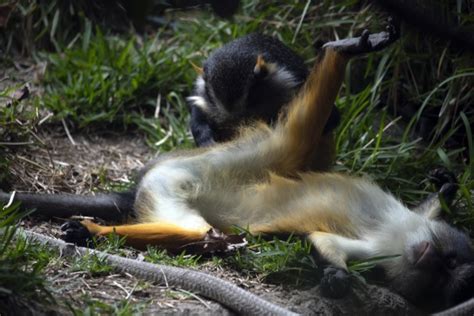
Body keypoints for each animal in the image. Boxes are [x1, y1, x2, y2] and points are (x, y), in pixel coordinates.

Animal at [0, 23, 474, 310]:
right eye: (448, 261)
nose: (434, 257)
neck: (405, 235)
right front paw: (447, 189)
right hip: (257, 150)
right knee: (299, 131)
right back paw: (343, 51)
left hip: (197, 177)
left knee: (198, 231)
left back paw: (100, 233)